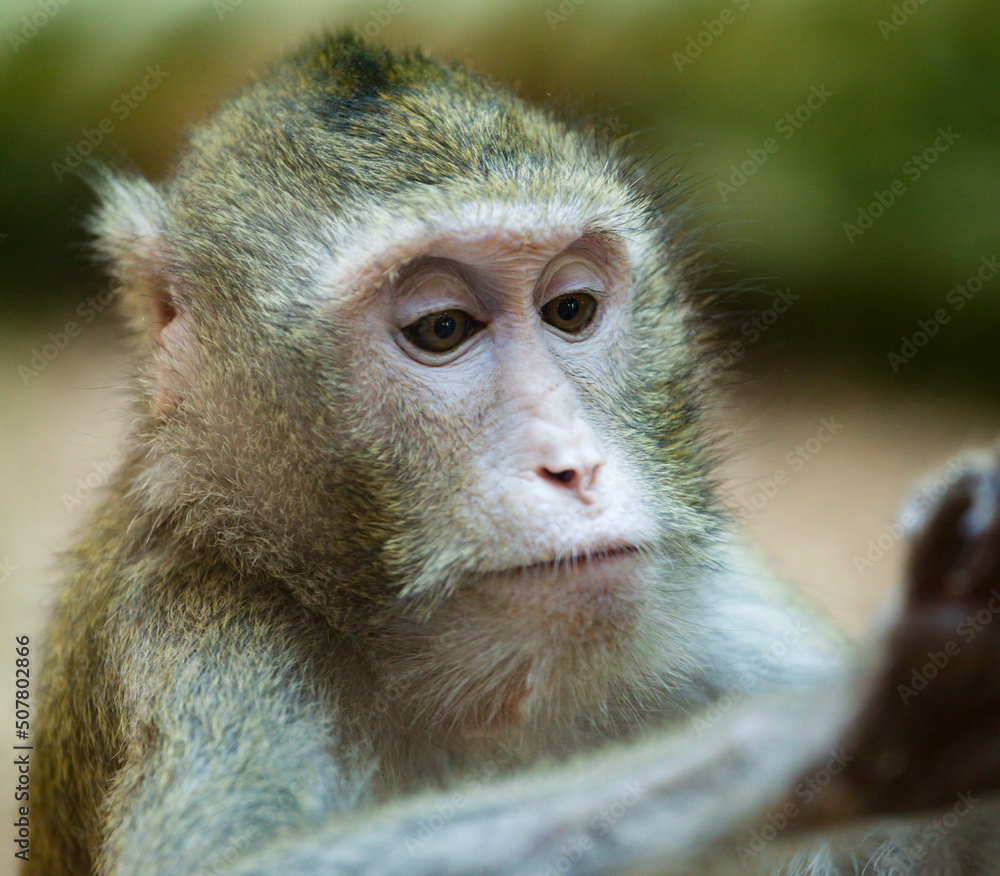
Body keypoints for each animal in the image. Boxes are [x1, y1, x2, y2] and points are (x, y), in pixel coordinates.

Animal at [24, 30, 1000, 876]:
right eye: (441, 329)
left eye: (571, 310)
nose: (574, 465)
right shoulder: (193, 612)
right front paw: (830, 726)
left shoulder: (720, 610)